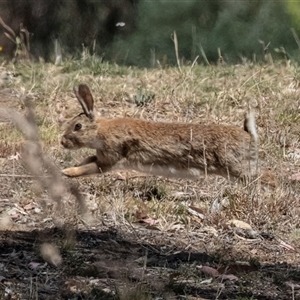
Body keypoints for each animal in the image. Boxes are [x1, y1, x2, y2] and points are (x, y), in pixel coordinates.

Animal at [61, 82, 258, 183]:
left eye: (77, 126)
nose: (62, 142)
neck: (100, 130)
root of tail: (249, 137)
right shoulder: (102, 155)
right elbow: (88, 159)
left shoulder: (110, 158)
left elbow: (89, 168)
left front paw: (68, 172)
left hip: (236, 166)